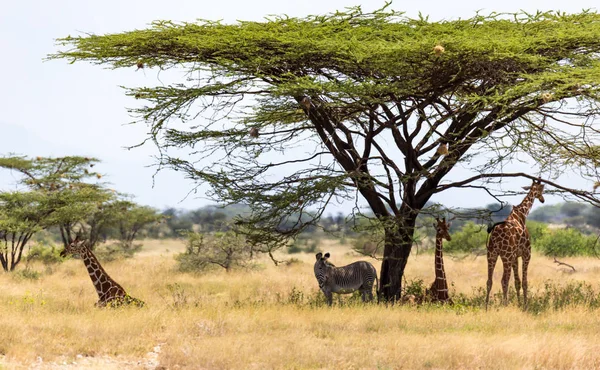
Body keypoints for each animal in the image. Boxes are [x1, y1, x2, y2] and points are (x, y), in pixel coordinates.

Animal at [486, 179, 548, 310]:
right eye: (541, 189)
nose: (542, 199)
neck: (522, 214)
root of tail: (495, 235)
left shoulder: (515, 257)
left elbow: (517, 282)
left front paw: (519, 304)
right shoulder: (526, 254)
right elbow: (524, 282)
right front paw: (525, 305)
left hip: (491, 254)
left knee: (489, 281)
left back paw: (486, 306)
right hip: (506, 256)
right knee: (504, 280)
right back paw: (505, 305)